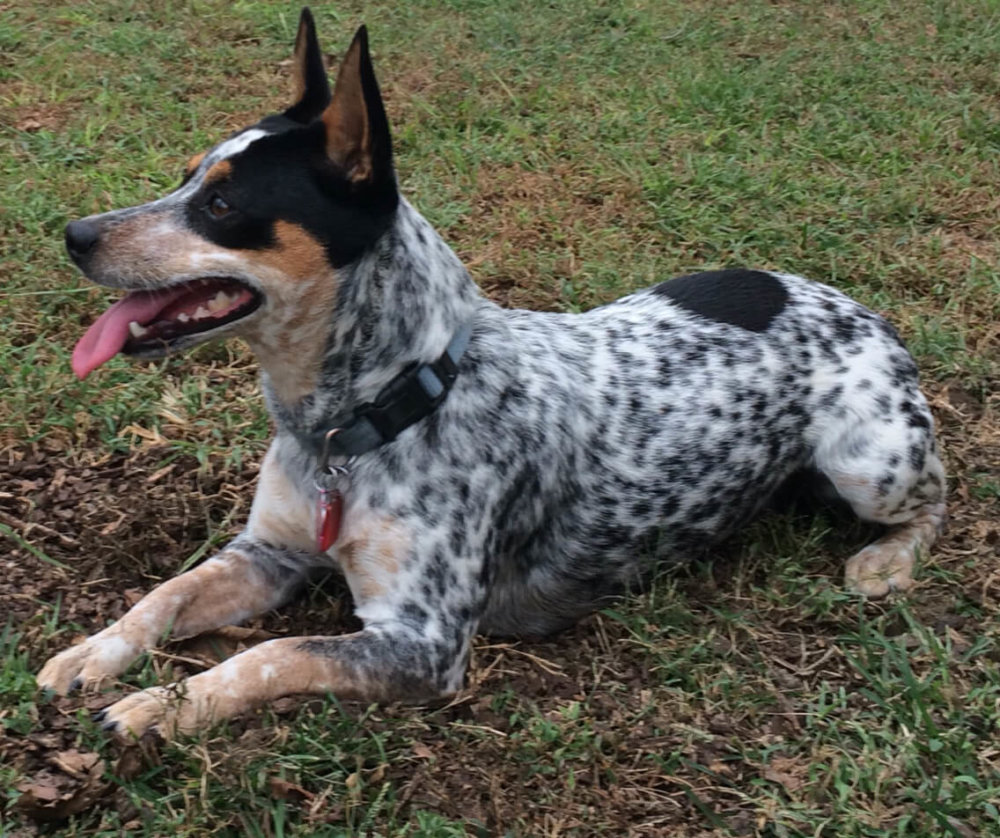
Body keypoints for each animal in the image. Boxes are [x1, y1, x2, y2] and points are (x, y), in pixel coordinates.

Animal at [39, 9, 944, 740]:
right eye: (187, 175)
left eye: (222, 206)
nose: (74, 233)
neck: (373, 412)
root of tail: (854, 304)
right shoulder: (265, 553)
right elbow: (165, 595)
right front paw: (94, 652)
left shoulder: (421, 641)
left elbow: (269, 655)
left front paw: (162, 706)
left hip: (871, 464)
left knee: (936, 500)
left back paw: (886, 562)